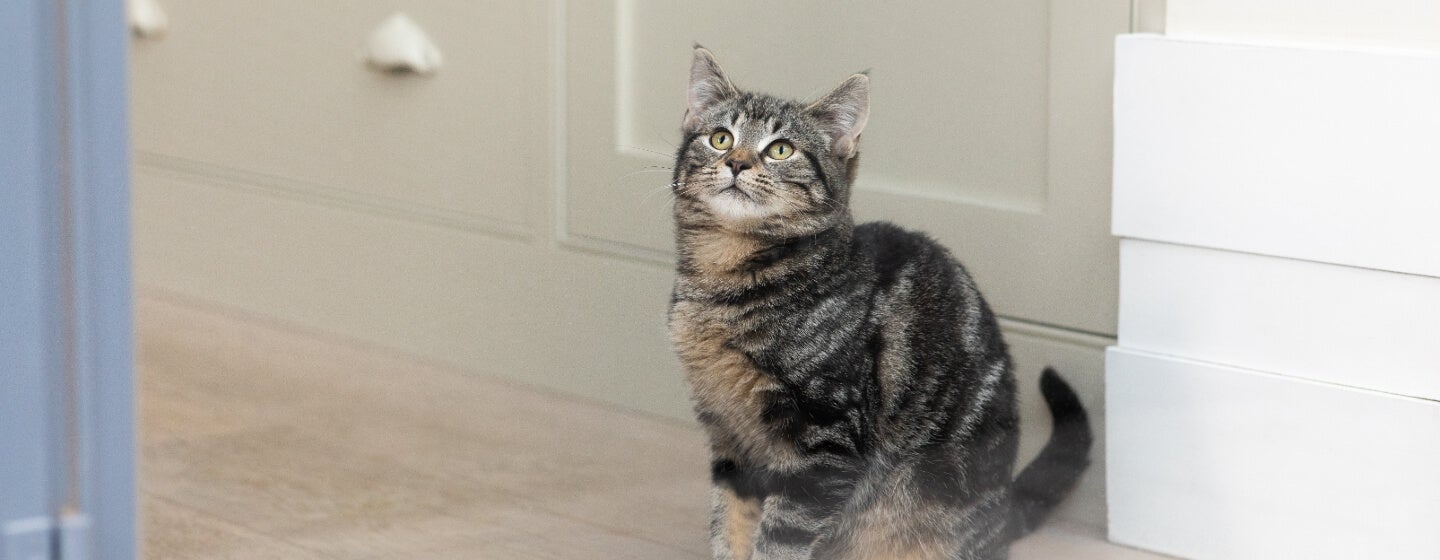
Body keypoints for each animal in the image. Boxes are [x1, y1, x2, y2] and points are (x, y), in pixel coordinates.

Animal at [665, 48, 1088, 558]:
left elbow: (781, 538)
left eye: (781, 149)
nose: (737, 162)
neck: (724, 286)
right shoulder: (729, 437)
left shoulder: (828, 440)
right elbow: (730, 526)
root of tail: (1004, 510)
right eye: (720, 138)